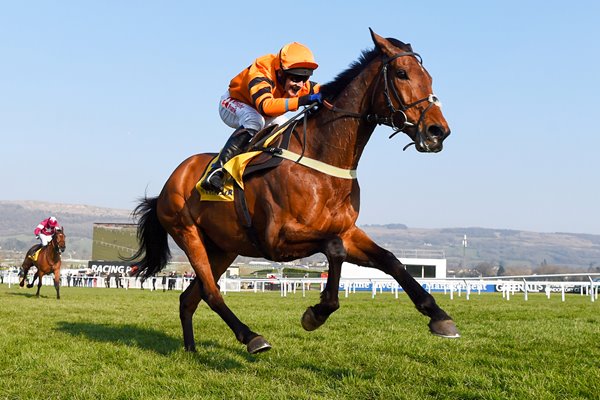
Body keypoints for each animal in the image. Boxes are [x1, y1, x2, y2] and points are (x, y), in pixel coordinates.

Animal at [132, 28, 460, 354]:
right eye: (402, 73)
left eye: (428, 76)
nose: (438, 131)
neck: (322, 159)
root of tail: (169, 184)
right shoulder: (277, 238)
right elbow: (334, 249)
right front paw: (317, 312)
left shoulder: (347, 230)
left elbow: (391, 260)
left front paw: (439, 316)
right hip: (188, 233)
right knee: (212, 293)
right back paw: (252, 337)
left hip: (224, 247)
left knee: (189, 298)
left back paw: (190, 349)